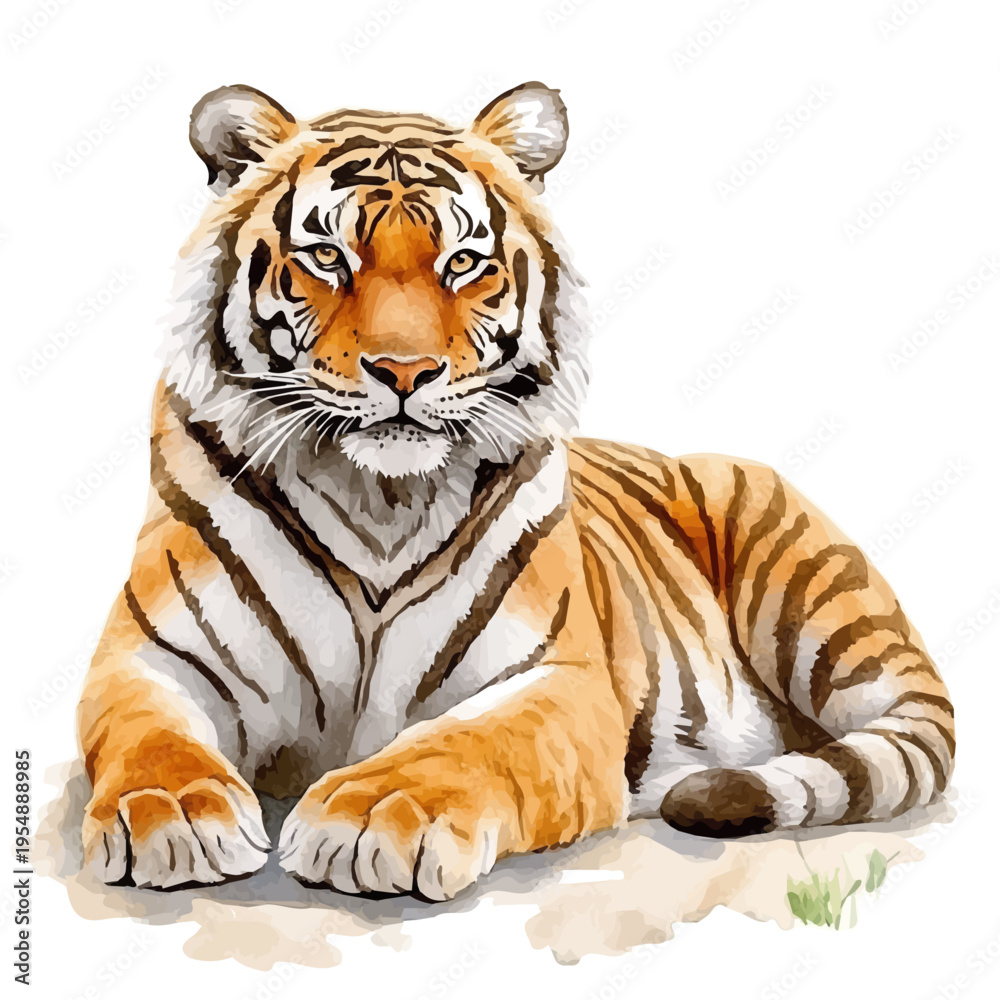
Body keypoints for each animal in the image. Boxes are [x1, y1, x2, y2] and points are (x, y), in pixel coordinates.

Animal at [76, 81, 955, 899]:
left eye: (462, 262)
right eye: (328, 257)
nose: (404, 372)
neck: (377, 500)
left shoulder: (556, 681)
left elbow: (460, 744)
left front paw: (370, 816)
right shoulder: (152, 655)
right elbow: (147, 735)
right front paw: (171, 814)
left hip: (810, 592)